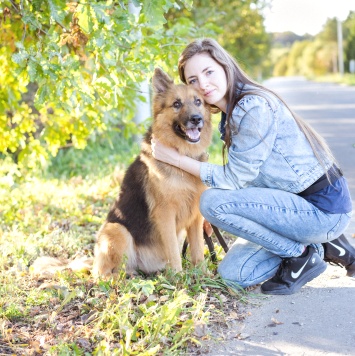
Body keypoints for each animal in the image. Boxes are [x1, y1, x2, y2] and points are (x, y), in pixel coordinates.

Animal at [93, 68, 213, 276]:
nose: (196, 119)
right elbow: (174, 251)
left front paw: (204, 276)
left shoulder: (195, 216)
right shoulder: (165, 215)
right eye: (176, 104)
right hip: (117, 230)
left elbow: (198, 249)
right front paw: (179, 277)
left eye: (198, 101)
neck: (184, 156)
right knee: (106, 273)